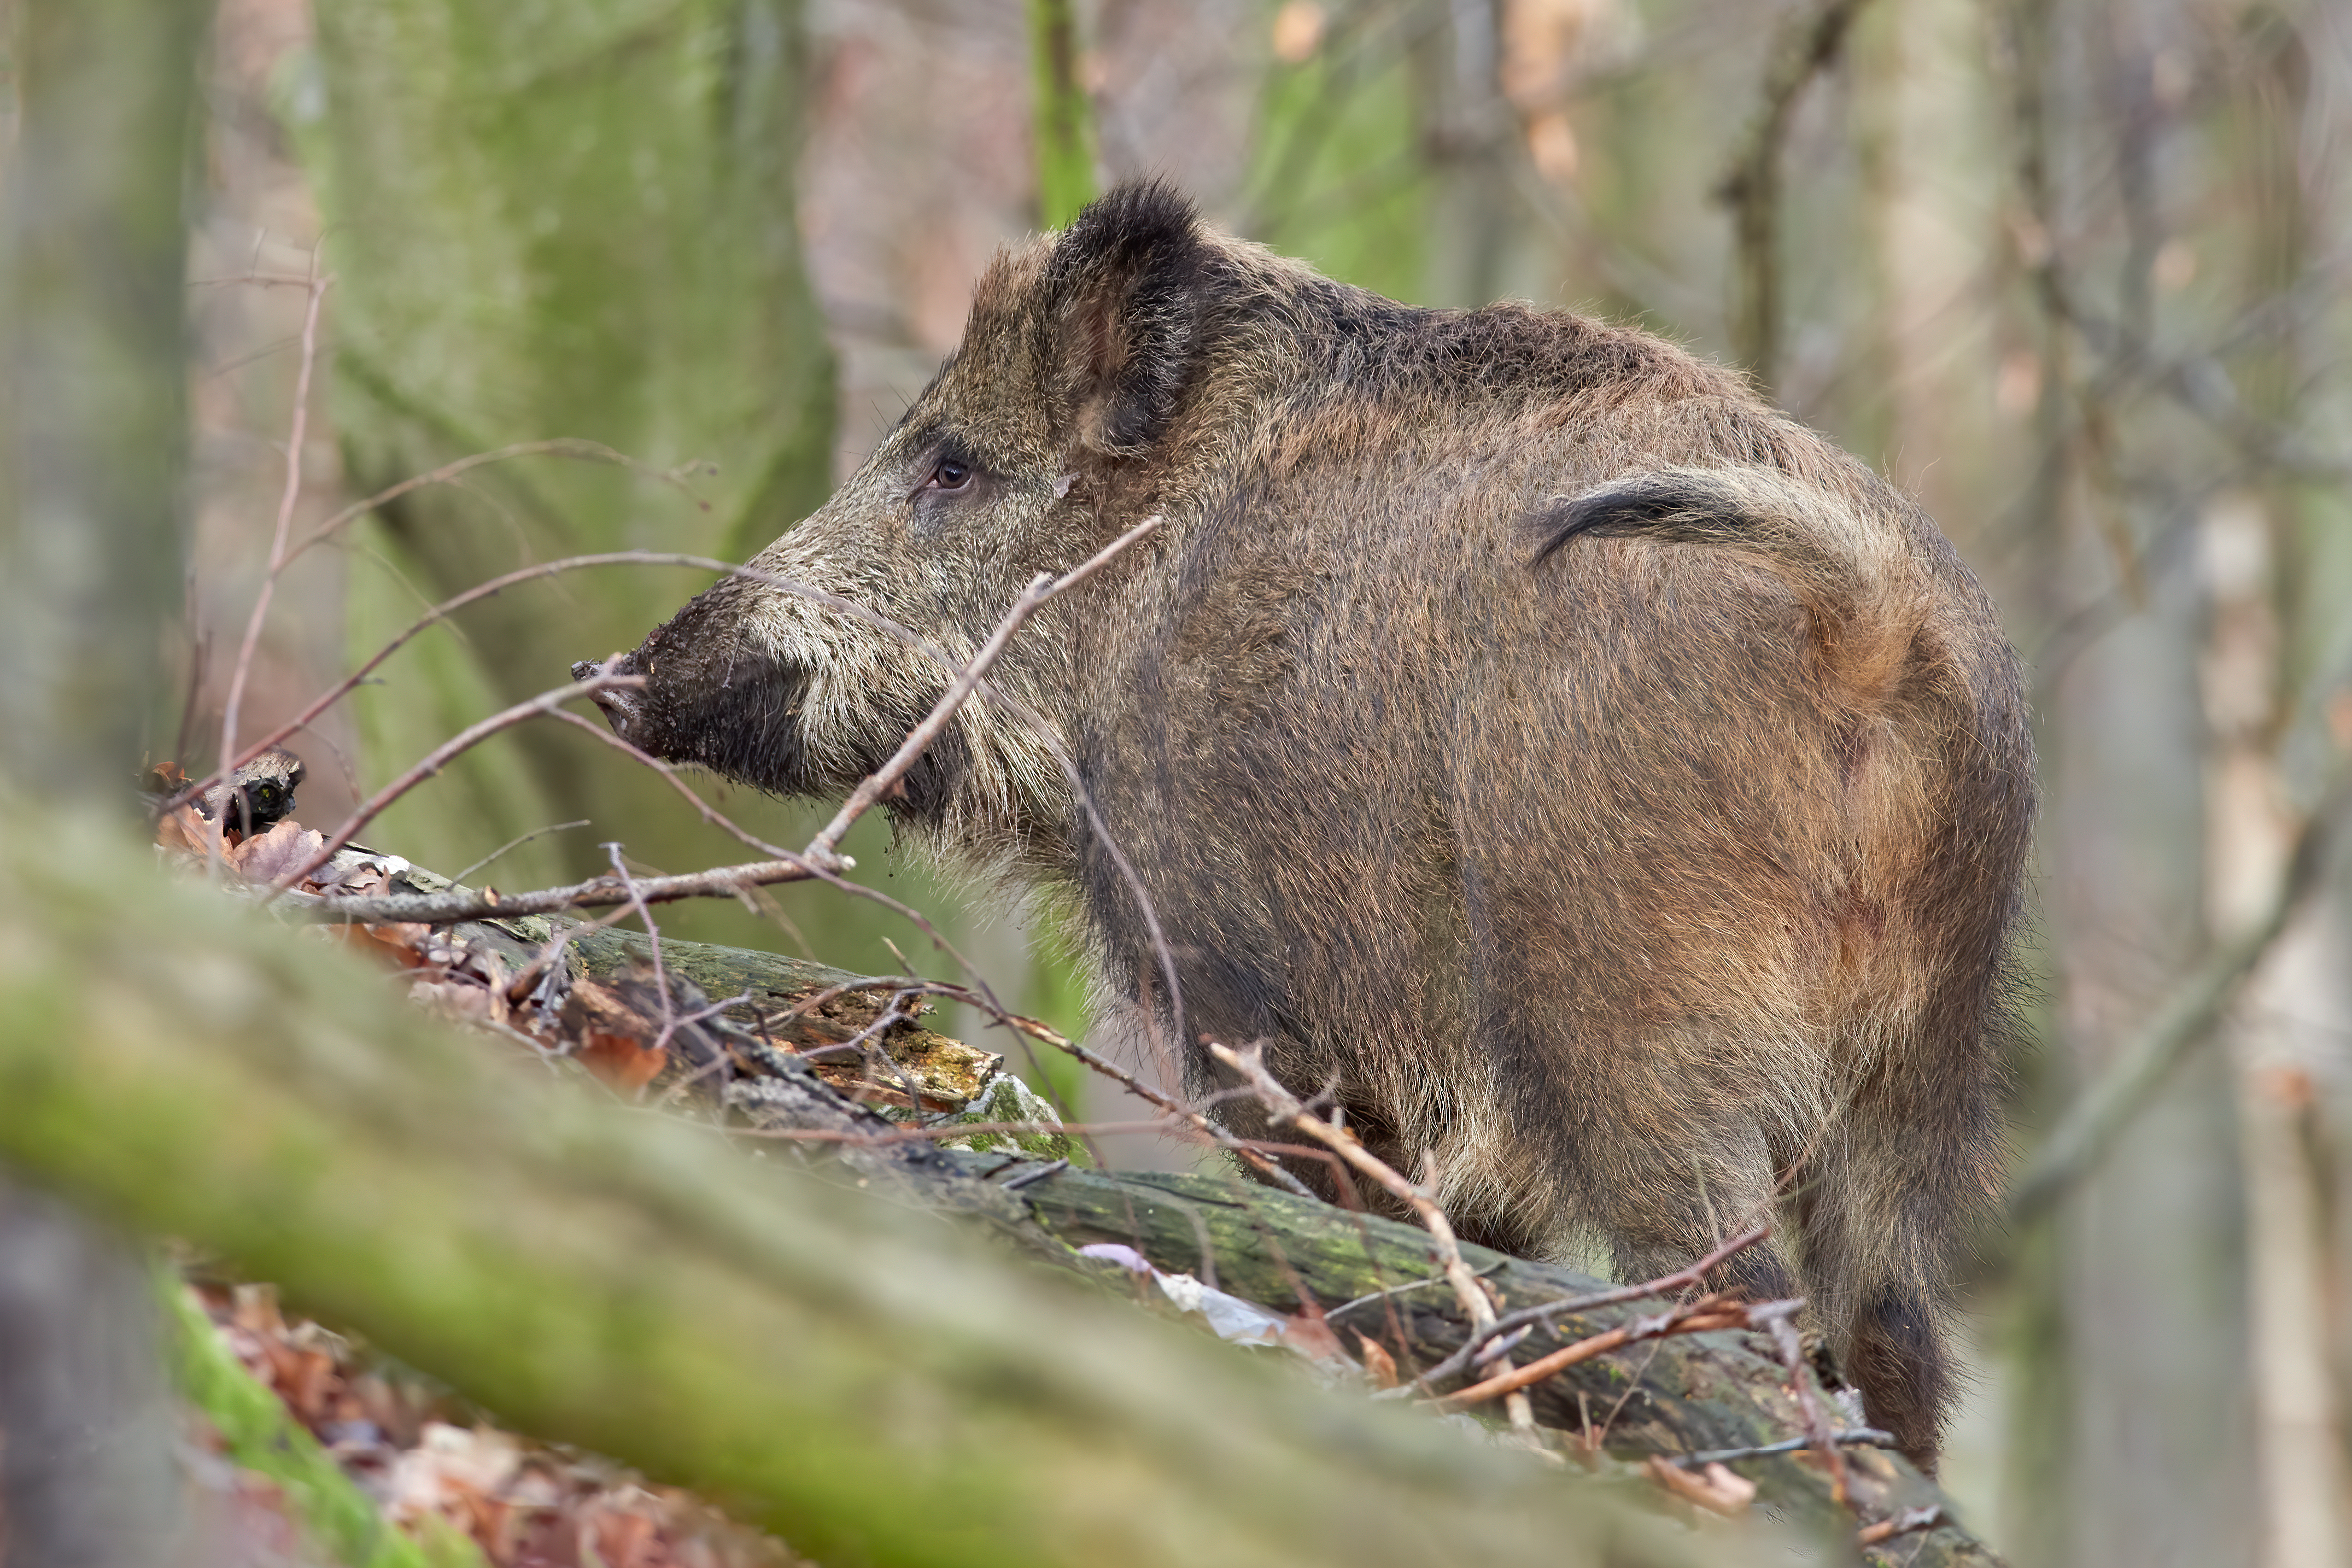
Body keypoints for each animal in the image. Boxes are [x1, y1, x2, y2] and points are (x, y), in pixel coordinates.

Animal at [576, 182, 2034, 1468]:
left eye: (950, 466)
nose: (617, 678)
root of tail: (1871, 626)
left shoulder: (1245, 993)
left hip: (1625, 1011)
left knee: (1736, 1291)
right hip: (1927, 1061)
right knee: (1897, 1335)